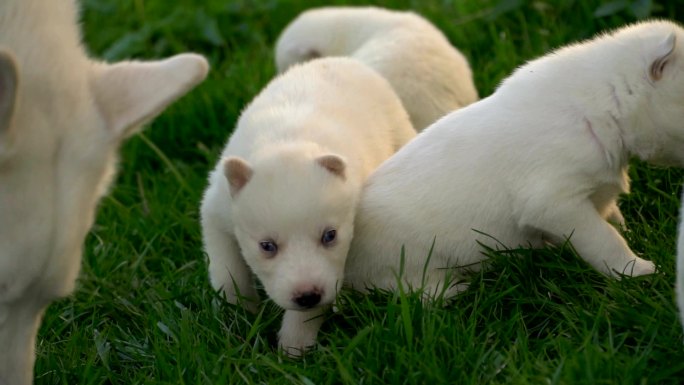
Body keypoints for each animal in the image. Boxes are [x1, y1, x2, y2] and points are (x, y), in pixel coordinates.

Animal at [344, 20, 684, 296]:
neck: (606, 101)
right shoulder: (557, 203)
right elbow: (605, 238)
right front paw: (637, 270)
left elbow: (612, 217)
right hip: (409, 264)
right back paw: (457, 290)